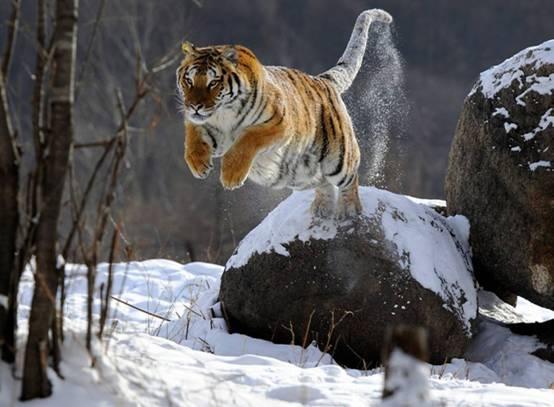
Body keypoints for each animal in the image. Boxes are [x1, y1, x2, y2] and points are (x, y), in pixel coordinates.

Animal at [175, 8, 390, 220]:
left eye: (213, 82)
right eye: (189, 80)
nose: (194, 106)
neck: (223, 115)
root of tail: (323, 80)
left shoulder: (280, 123)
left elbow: (246, 140)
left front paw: (230, 176)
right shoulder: (205, 126)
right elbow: (192, 139)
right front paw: (199, 165)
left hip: (338, 159)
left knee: (349, 179)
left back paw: (349, 210)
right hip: (301, 174)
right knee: (323, 182)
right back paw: (322, 208)